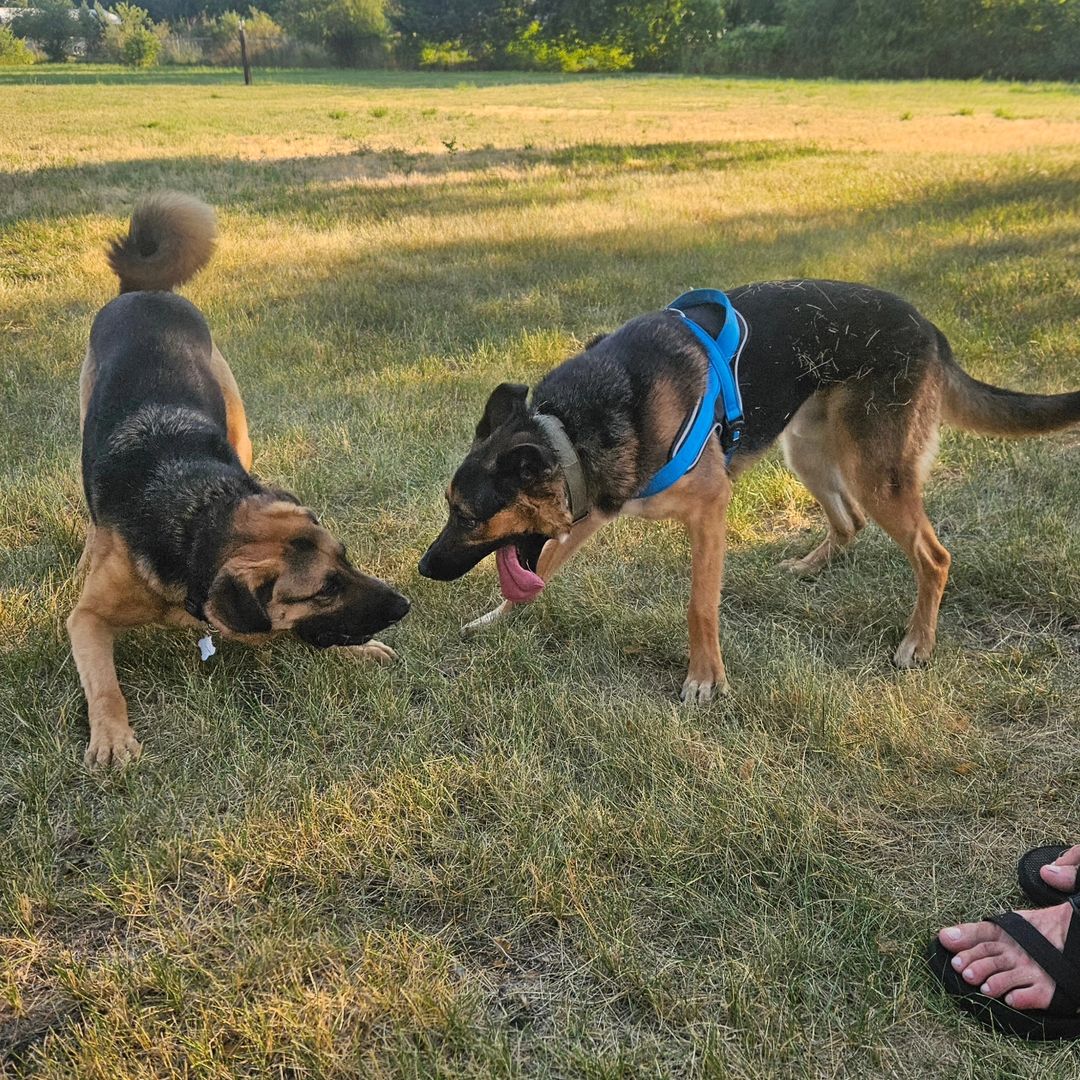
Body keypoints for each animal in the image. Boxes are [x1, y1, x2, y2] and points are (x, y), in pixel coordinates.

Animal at [71, 196, 408, 768]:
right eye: (324, 588)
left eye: (346, 559)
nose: (404, 605)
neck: (198, 518)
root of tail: (142, 290)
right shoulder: (87, 618)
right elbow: (104, 684)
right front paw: (112, 737)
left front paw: (359, 649)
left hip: (236, 417)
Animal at [414, 278, 1080, 699]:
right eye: (451, 509)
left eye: (466, 516)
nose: (421, 569)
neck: (571, 430)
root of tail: (931, 330)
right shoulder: (593, 510)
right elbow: (544, 568)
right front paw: (495, 620)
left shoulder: (710, 509)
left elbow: (699, 605)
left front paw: (705, 679)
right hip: (807, 451)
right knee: (850, 522)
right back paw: (812, 566)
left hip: (875, 473)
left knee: (933, 556)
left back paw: (917, 643)